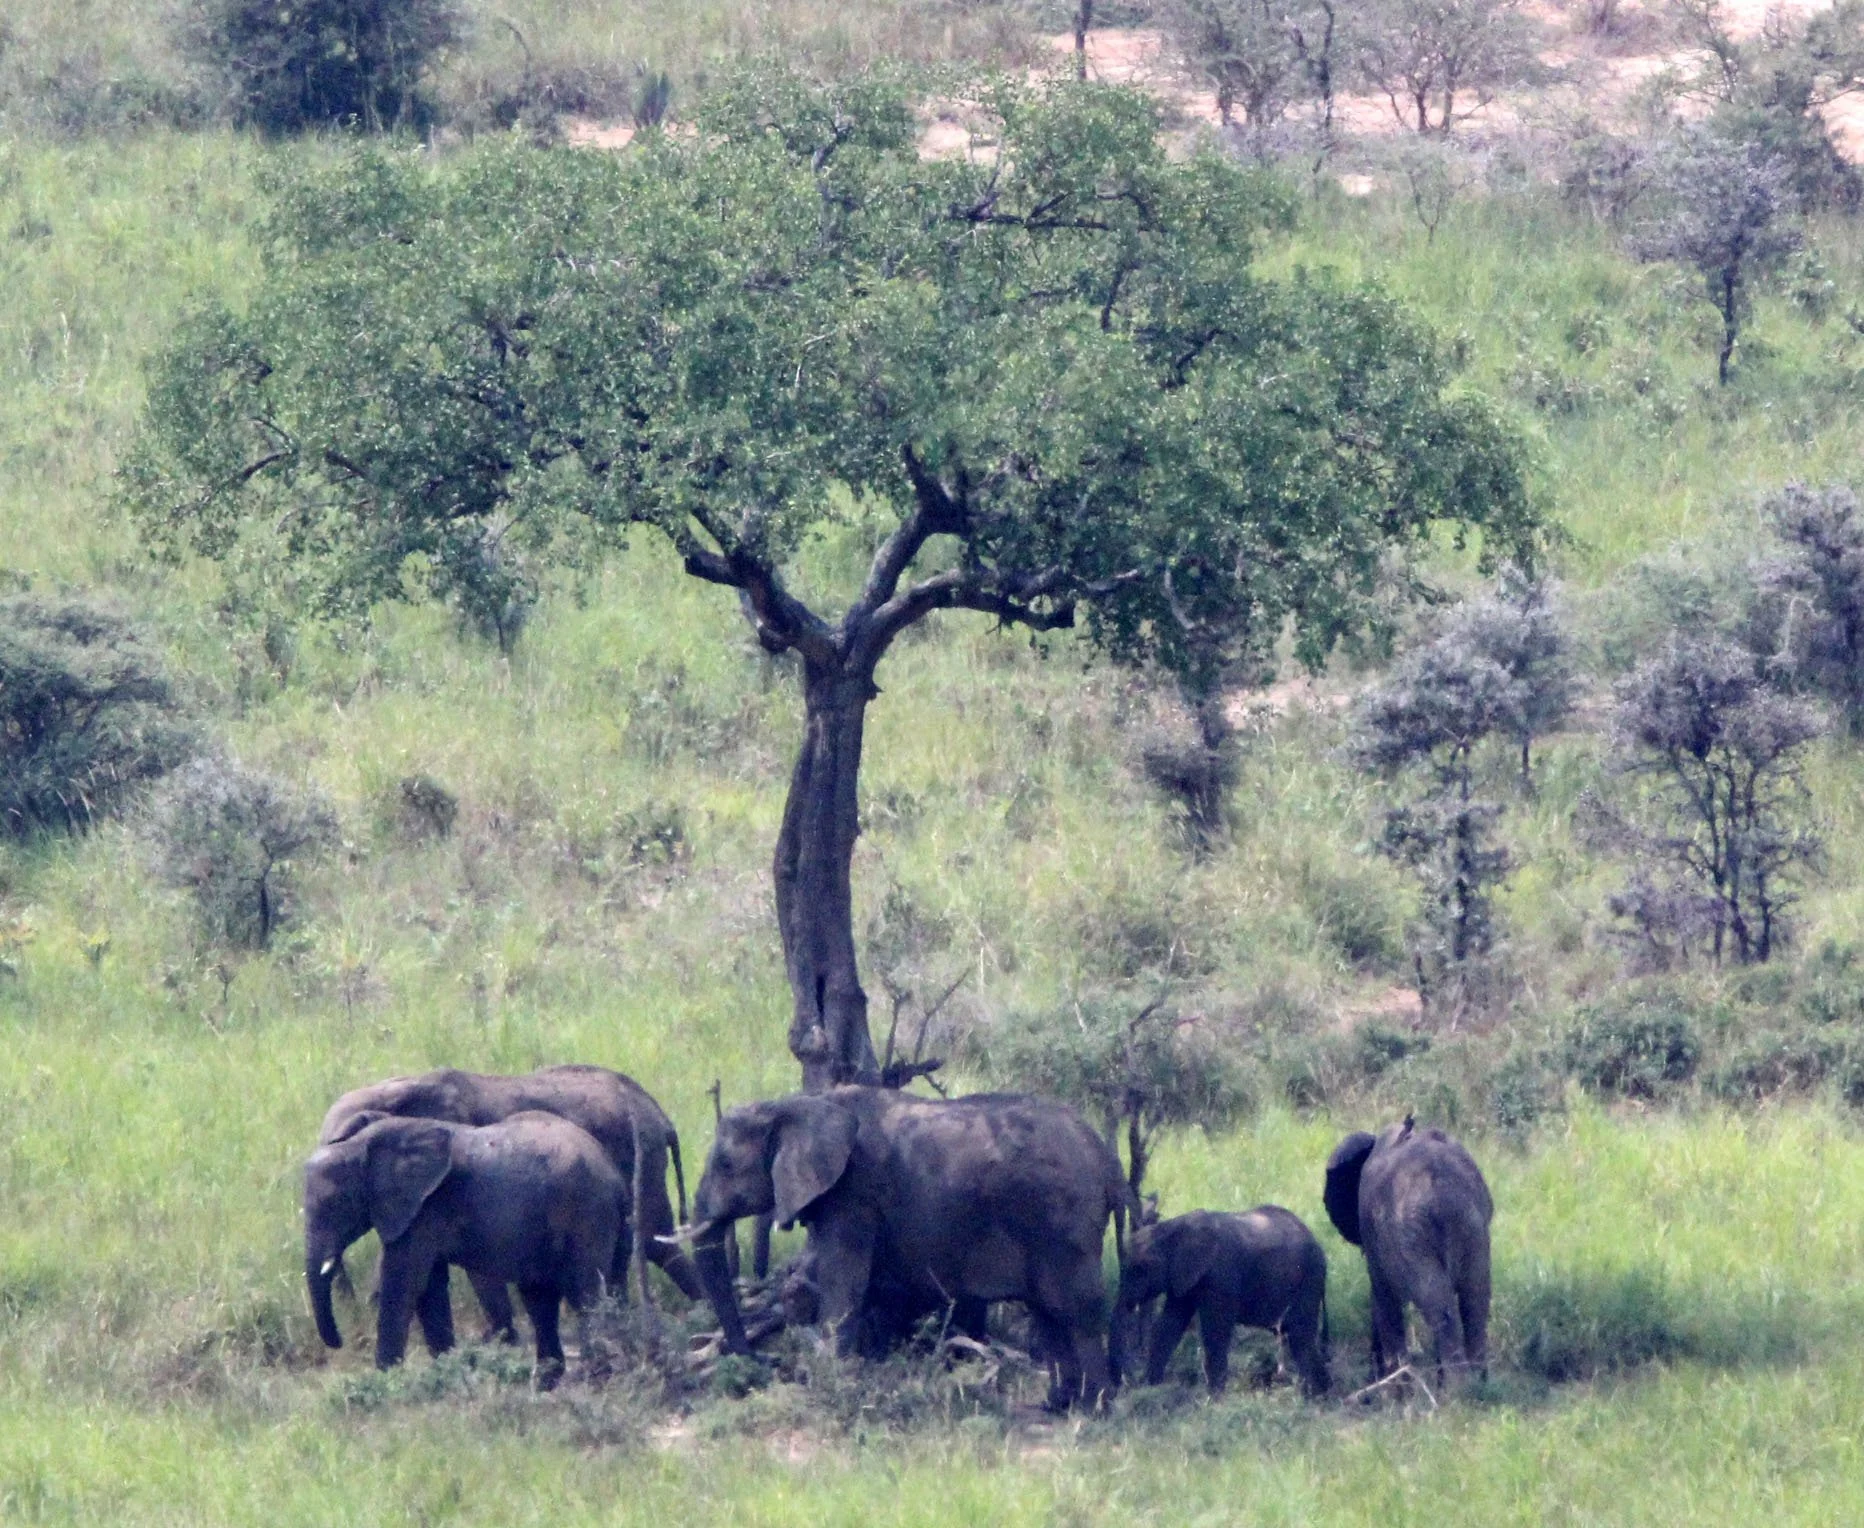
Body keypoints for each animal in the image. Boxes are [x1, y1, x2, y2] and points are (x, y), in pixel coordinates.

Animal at [304, 1111, 623, 1385]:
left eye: (336, 1204)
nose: (339, 1342)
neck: (357, 1146)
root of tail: (614, 1172)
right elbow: (429, 1286)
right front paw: (446, 1373)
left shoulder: (424, 1206)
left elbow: (405, 1281)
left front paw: (385, 1379)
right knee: (540, 1299)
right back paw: (545, 1383)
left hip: (587, 1213)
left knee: (586, 1293)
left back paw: (596, 1377)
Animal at [689, 1087, 1128, 1408]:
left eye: (725, 1164)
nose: (766, 1360)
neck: (794, 1102)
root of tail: (1107, 1158)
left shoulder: (854, 1192)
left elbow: (842, 1278)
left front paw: (829, 1377)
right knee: (1048, 1312)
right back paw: (1059, 1405)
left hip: (1063, 1220)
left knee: (1073, 1310)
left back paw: (1094, 1409)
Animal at [1116, 1207, 1330, 1396]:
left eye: (1140, 1269)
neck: (1172, 1227)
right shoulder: (1182, 1275)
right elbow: (1169, 1325)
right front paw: (1151, 1389)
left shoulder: (1221, 1275)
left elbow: (1215, 1330)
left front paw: (1214, 1399)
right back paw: (1320, 1395)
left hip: (1309, 1278)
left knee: (1300, 1337)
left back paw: (1310, 1398)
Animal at [1324, 1118, 1493, 1392]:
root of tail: (1442, 1188)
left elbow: (1383, 1298)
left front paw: (1392, 1391)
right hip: (1473, 1227)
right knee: (1475, 1297)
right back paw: (1479, 1383)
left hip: (1412, 1233)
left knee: (1437, 1302)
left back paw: (1455, 1389)